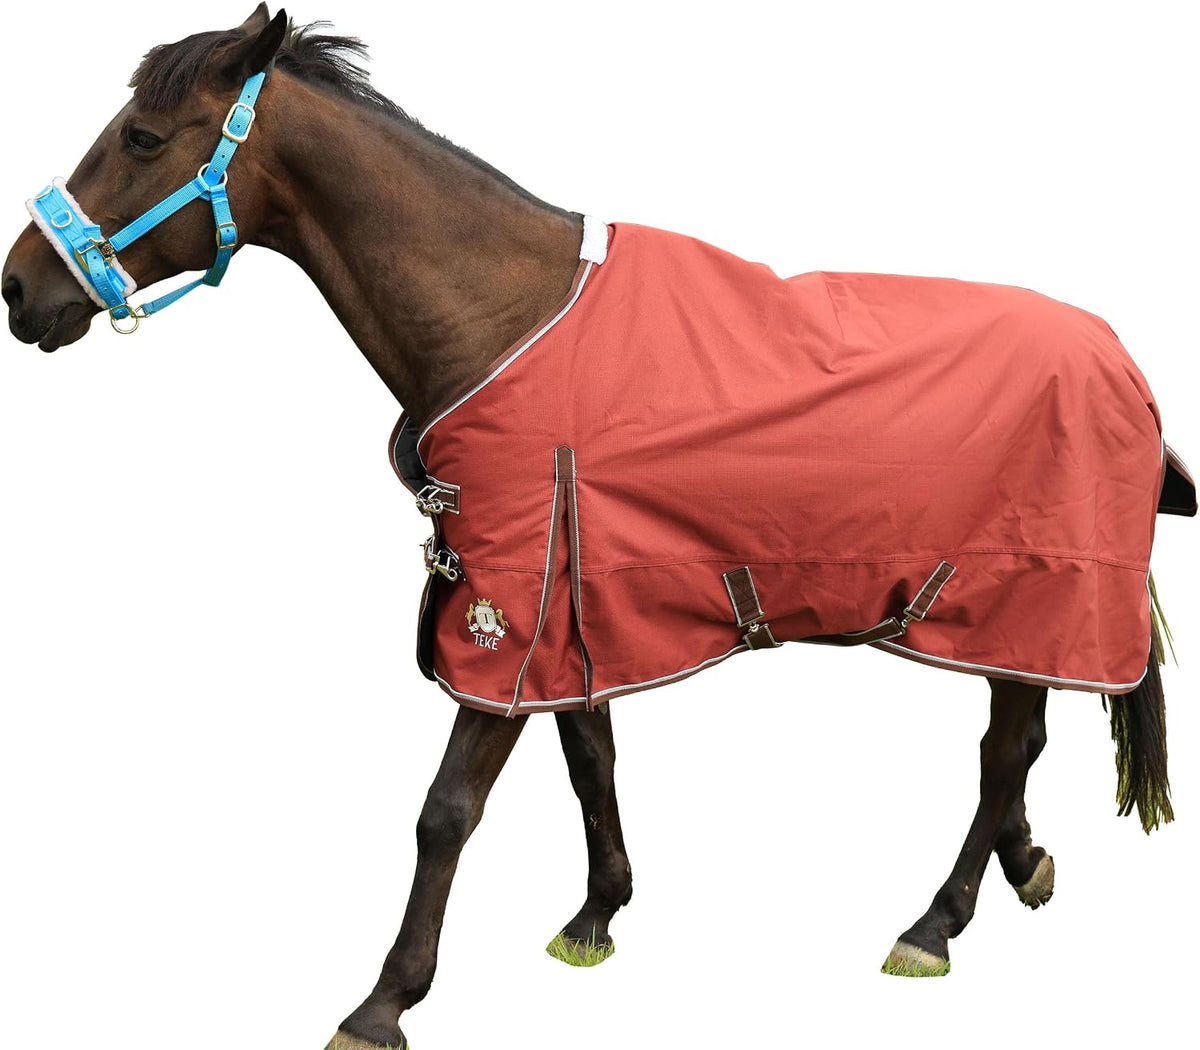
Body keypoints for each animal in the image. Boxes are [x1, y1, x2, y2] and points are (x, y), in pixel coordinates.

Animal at [3, 7, 1195, 1049]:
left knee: (1002, 752)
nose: (19, 289)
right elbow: (590, 759)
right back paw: (1021, 868)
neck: (503, 317)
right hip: (1009, 614)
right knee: (1020, 744)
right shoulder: (572, 601)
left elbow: (446, 809)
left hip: (1020, 590)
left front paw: (384, 1002)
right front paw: (595, 915)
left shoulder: (506, 607)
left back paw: (933, 924)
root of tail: (1122, 362)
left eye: (142, 137)